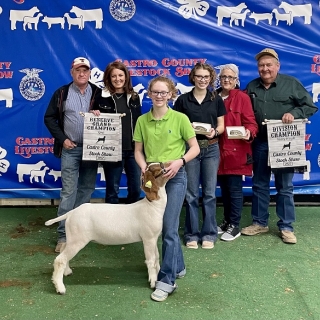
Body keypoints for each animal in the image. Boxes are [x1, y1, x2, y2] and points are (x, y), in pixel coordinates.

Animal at [46, 164, 170, 294]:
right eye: (156, 169)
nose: (166, 166)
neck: (152, 206)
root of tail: (71, 213)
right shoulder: (148, 239)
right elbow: (151, 260)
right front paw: (153, 282)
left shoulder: (154, 238)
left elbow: (157, 257)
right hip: (77, 240)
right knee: (60, 259)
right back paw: (60, 288)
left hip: (72, 238)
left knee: (63, 251)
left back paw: (67, 271)